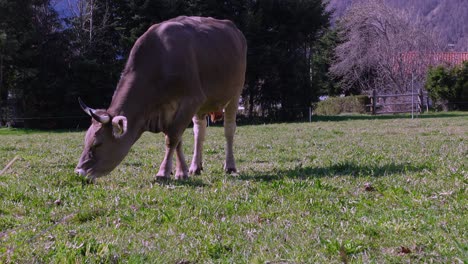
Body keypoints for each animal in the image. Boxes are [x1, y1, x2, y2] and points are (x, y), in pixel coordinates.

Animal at [74, 16, 245, 182]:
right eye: (85, 141)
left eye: (97, 144)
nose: (78, 172)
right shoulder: (168, 111)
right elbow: (178, 141)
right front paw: (181, 172)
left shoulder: (191, 100)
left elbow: (173, 138)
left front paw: (163, 172)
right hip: (202, 107)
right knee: (199, 132)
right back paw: (195, 166)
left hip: (235, 94)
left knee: (229, 129)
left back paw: (230, 166)